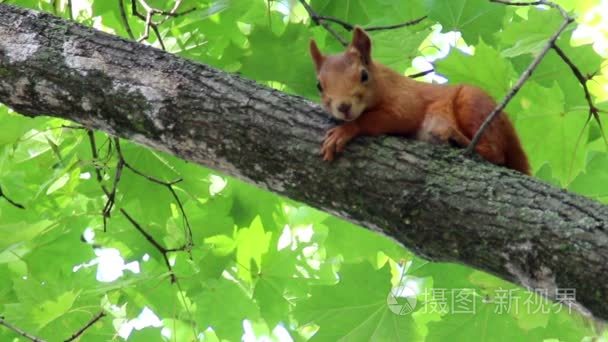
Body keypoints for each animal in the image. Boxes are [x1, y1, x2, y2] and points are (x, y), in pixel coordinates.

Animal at [312, 27, 528, 174]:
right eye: (319, 86)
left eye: (364, 75)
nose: (344, 107)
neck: (384, 82)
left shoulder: (408, 101)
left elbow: (397, 118)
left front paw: (345, 130)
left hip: (473, 103)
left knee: (495, 153)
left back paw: (457, 139)